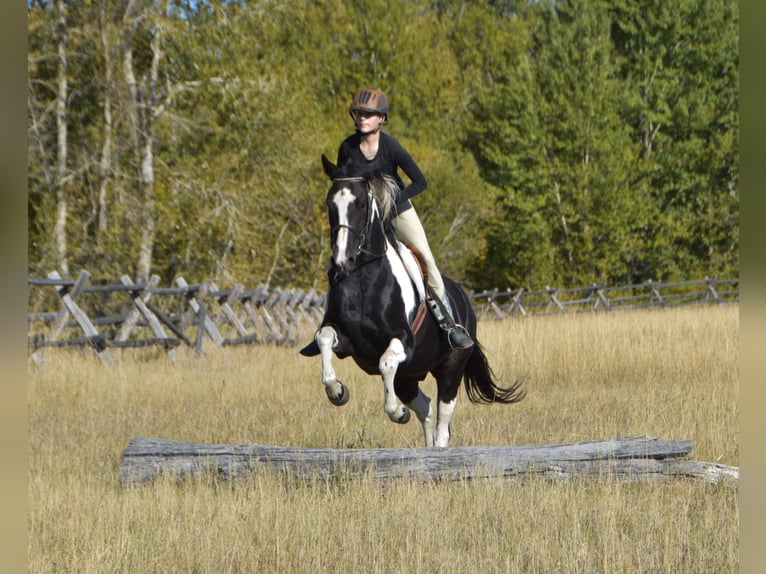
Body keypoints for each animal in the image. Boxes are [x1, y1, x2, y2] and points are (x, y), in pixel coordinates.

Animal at [300, 155, 526, 447]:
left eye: (360, 203)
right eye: (330, 203)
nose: (342, 261)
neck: (364, 280)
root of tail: (464, 300)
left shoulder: (404, 341)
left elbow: (386, 362)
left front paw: (397, 412)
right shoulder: (349, 342)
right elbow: (324, 338)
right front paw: (338, 392)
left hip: (450, 369)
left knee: (442, 421)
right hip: (408, 378)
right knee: (427, 410)